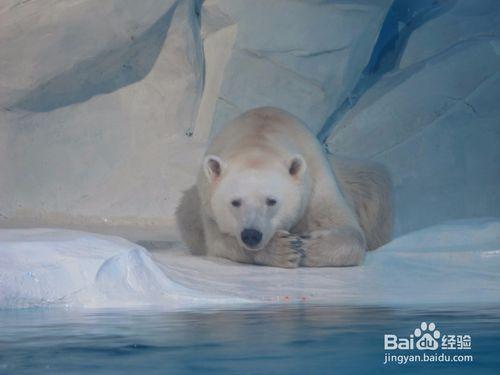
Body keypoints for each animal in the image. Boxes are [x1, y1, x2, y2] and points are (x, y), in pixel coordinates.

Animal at [176, 107, 390, 268]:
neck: (258, 138)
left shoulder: (315, 179)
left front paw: (309, 246)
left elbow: (347, 227)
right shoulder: (208, 201)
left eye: (271, 201)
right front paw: (284, 249)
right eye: (235, 202)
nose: (251, 235)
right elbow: (219, 242)